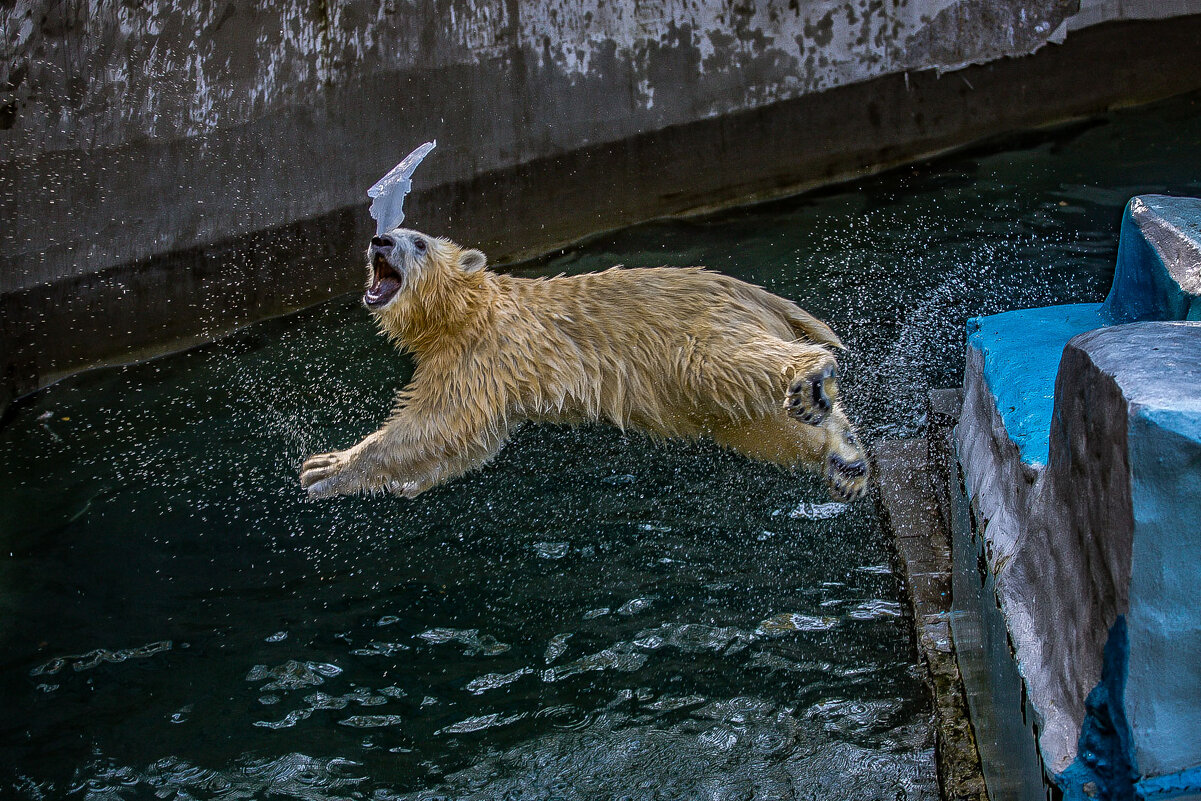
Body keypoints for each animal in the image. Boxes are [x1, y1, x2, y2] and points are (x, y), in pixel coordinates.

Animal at [296, 226, 869, 501]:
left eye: (416, 240)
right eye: (392, 231)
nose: (380, 238)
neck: (470, 309)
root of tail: (755, 292)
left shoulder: (482, 354)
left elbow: (438, 424)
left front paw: (326, 467)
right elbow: (461, 446)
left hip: (693, 334)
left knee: (727, 363)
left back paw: (813, 377)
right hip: (701, 392)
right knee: (753, 420)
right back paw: (845, 458)